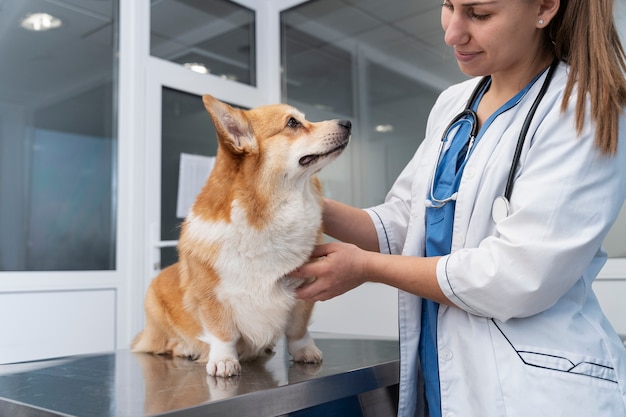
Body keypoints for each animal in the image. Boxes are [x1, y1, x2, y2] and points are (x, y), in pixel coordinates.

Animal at [132, 95, 348, 376]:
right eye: (292, 123)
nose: (347, 123)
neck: (267, 216)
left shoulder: (303, 294)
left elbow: (298, 331)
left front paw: (306, 352)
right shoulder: (212, 298)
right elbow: (223, 333)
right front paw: (224, 360)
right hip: (154, 309)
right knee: (164, 343)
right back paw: (184, 348)